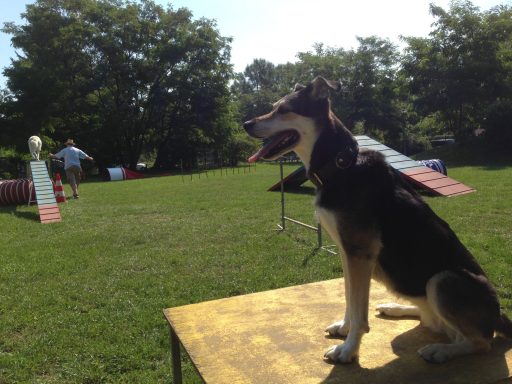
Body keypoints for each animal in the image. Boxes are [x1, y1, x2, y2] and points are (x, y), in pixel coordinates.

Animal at [244, 76, 512, 364]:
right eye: (273, 107)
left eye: (284, 110)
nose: (246, 124)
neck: (341, 164)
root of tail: (499, 316)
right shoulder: (346, 251)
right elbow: (349, 297)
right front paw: (344, 328)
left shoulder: (360, 253)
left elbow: (358, 309)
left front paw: (348, 350)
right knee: (430, 318)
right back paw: (395, 307)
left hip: (443, 280)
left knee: (481, 341)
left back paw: (441, 350)